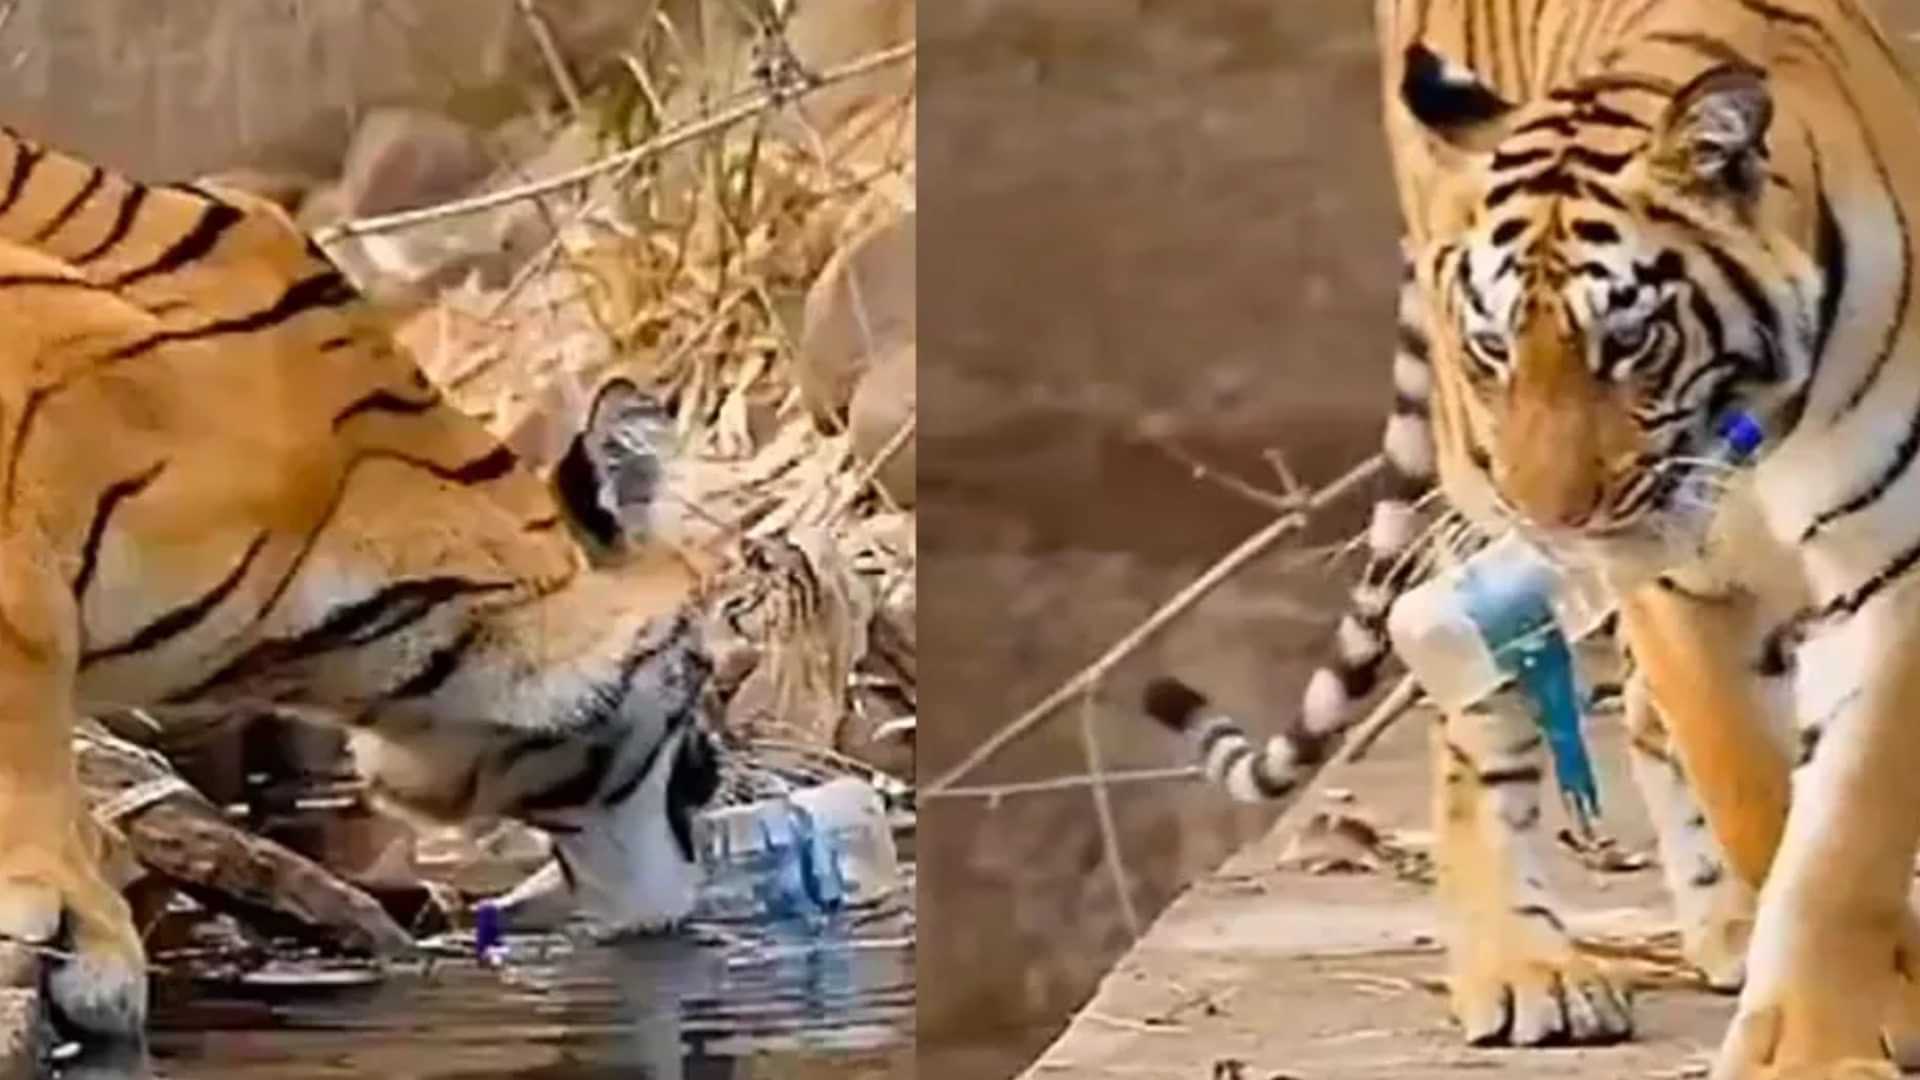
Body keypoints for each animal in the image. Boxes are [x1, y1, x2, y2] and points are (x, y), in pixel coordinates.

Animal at [1144, 2, 1920, 1075]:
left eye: (1627, 343)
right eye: (1495, 346)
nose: (1555, 518)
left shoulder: (1892, 558)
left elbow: (1846, 829)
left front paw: (1823, 1028)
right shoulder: (1670, 586)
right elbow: (1756, 793)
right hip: (1472, 503)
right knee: (1477, 716)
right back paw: (1528, 969)